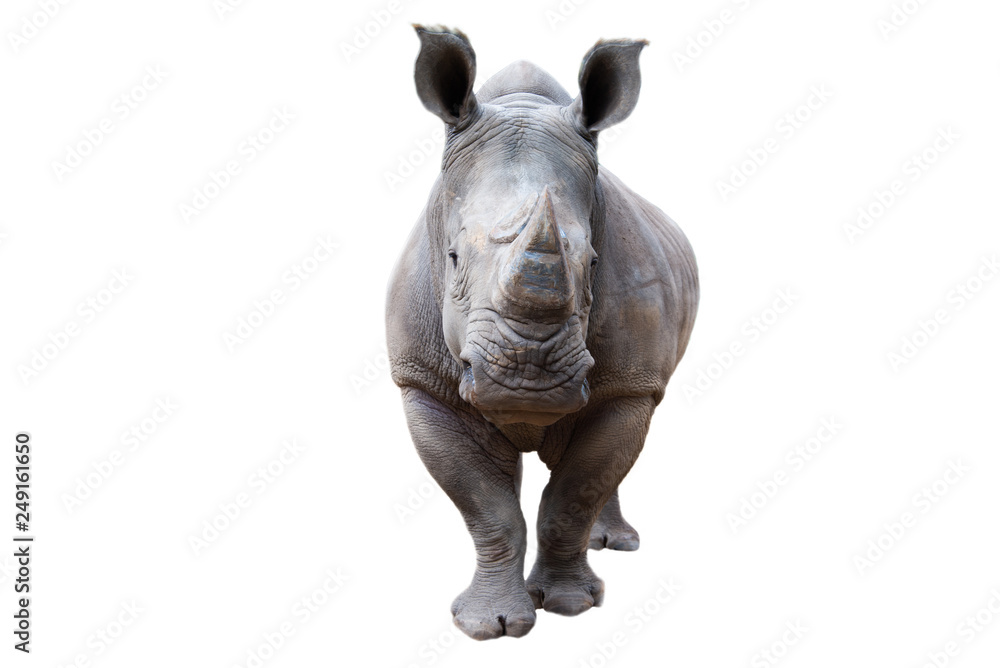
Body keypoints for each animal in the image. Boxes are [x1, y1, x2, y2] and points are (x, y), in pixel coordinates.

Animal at [386, 25, 699, 640]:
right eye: (452, 258)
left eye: (595, 263)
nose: (526, 383)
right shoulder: (423, 383)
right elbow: (487, 508)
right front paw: (488, 626)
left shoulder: (632, 381)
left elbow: (574, 493)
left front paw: (570, 606)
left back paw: (613, 544)